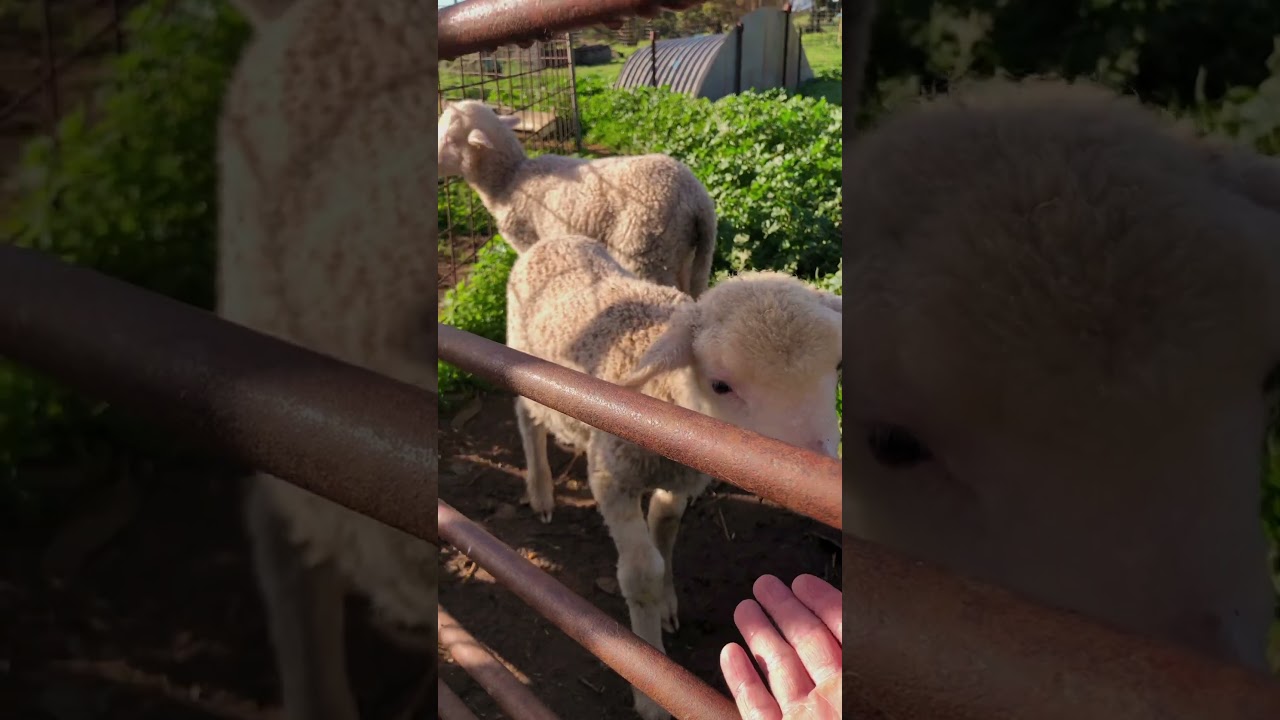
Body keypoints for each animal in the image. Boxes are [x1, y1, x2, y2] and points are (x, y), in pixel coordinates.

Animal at [437, 99, 719, 297]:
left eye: (449, 138)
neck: (511, 179)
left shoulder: (526, 239)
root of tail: (696, 198)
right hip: (686, 254)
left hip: (646, 250)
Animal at [506, 234, 842, 720]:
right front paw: (649, 684)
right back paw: (541, 491)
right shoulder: (612, 476)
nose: (813, 473)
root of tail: (551, 240)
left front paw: (667, 605)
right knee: (526, 417)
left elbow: (665, 528)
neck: (666, 407)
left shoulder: (680, 476)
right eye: (720, 385)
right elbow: (641, 574)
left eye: (836, 368)